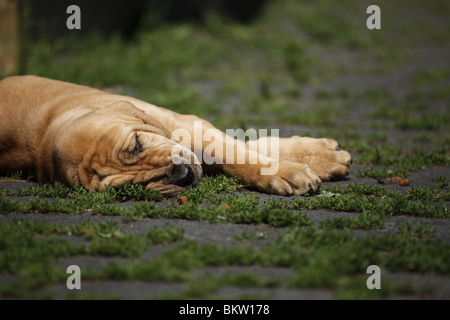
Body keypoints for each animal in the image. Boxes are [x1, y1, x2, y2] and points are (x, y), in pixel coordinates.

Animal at [0, 76, 352, 196]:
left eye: (136, 145)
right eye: (124, 189)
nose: (182, 176)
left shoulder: (188, 125)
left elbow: (237, 152)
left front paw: (300, 164)